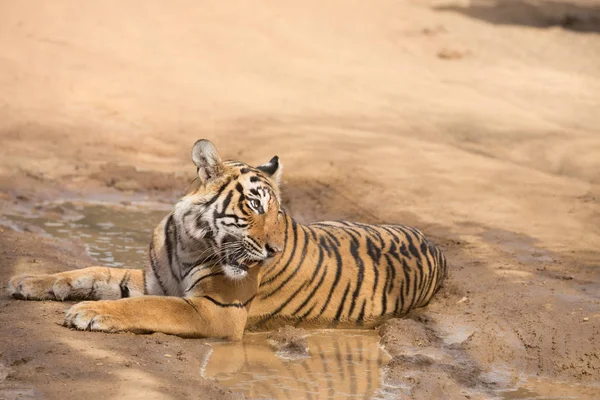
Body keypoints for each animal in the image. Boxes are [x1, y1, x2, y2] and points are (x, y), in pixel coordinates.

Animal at [5, 139, 446, 340]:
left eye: (277, 212)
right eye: (254, 205)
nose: (274, 250)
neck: (189, 242)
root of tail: (435, 244)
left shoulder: (215, 310)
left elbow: (147, 307)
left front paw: (90, 312)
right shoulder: (152, 279)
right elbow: (90, 271)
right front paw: (27, 281)